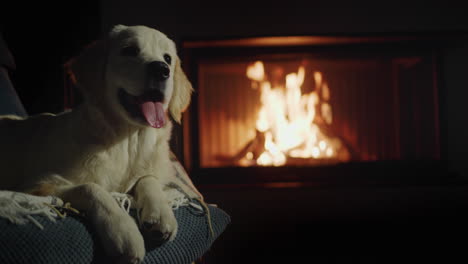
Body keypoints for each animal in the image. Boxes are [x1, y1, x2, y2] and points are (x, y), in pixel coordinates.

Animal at [0, 24, 199, 262]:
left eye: (168, 58)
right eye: (130, 50)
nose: (162, 69)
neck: (127, 142)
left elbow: (147, 178)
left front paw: (160, 213)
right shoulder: (37, 184)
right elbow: (92, 187)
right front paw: (123, 231)